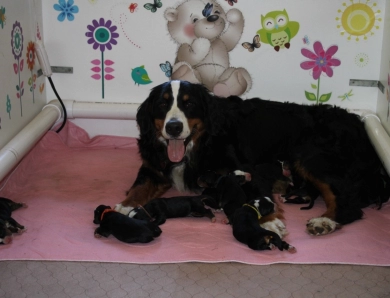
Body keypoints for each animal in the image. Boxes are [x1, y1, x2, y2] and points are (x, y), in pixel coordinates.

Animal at [116, 80, 390, 236]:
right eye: (162, 105)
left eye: (189, 103)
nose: (173, 127)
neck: (197, 144)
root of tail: (359, 122)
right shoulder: (153, 168)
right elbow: (138, 188)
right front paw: (125, 207)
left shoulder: (242, 169)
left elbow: (257, 194)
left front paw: (269, 222)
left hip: (311, 155)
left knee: (348, 202)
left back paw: (325, 221)